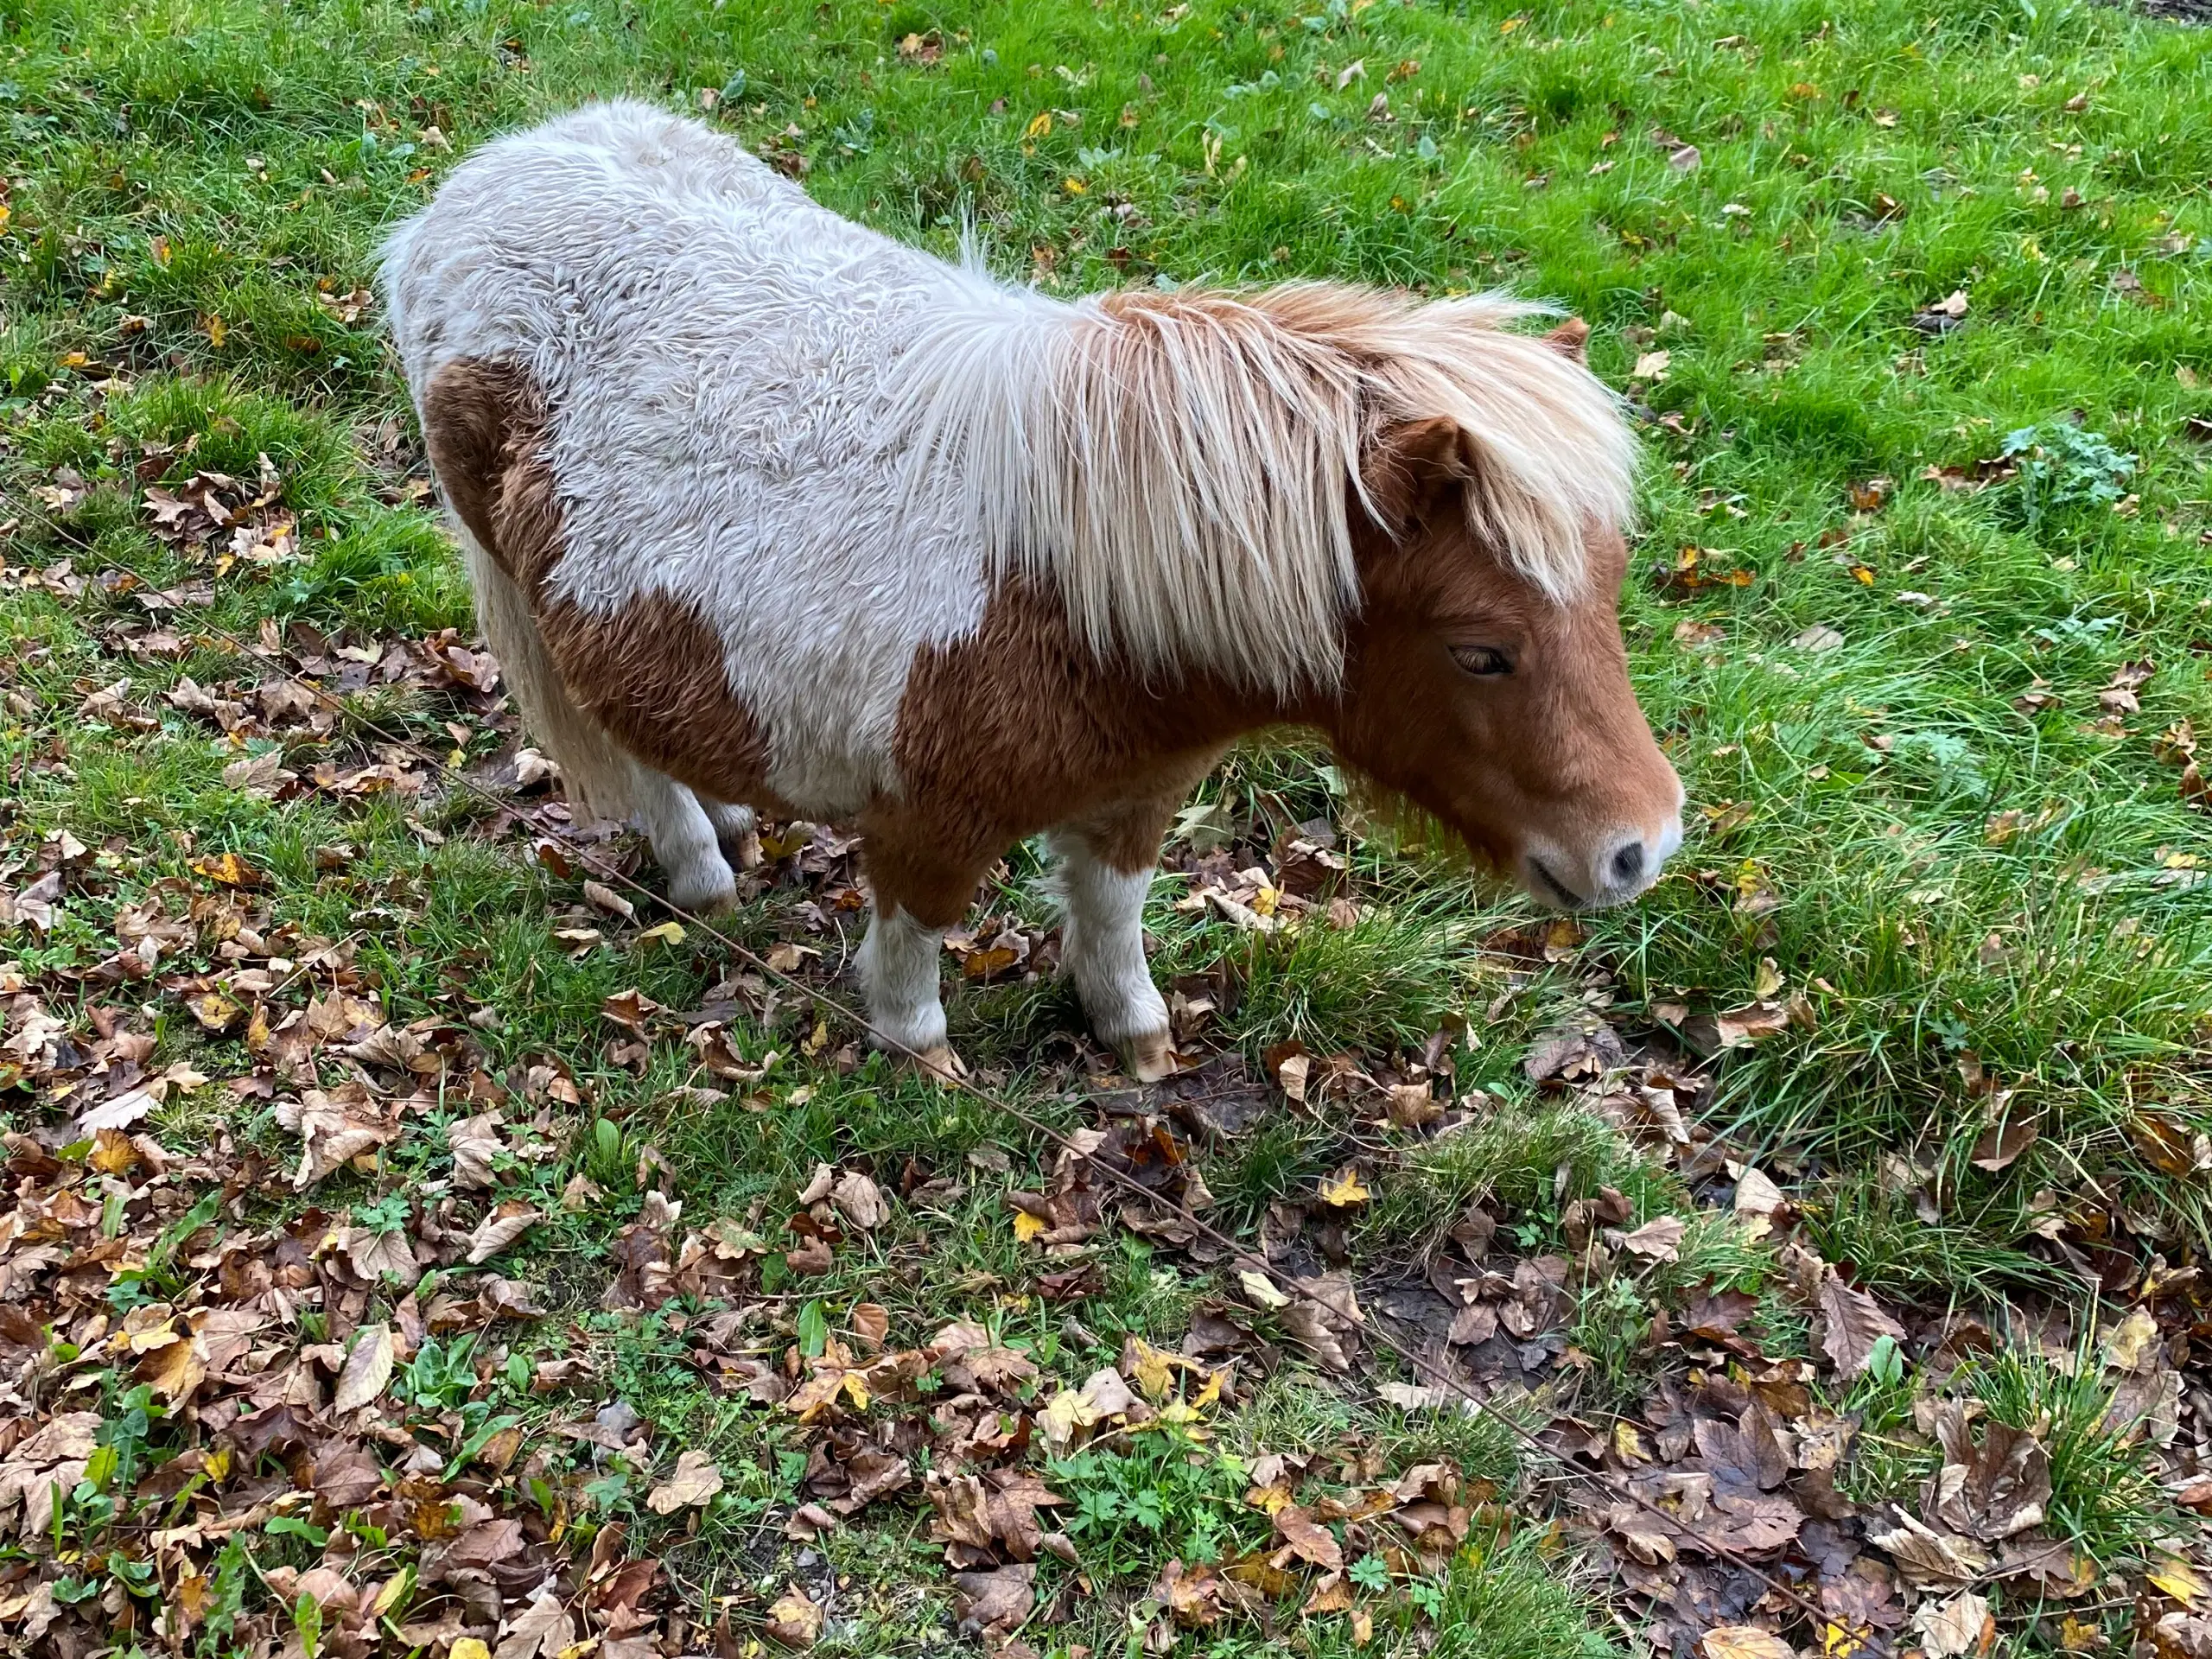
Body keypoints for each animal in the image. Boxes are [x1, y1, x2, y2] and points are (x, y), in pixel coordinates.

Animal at [380, 107, 1681, 1092]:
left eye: (1611, 593)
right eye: (1480, 650)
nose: (1642, 849)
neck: (1066, 585)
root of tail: (468, 193)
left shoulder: (1137, 796)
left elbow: (1110, 912)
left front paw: (1134, 1034)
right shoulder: (925, 821)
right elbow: (916, 937)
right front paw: (919, 1056)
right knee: (623, 756)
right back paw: (703, 870)